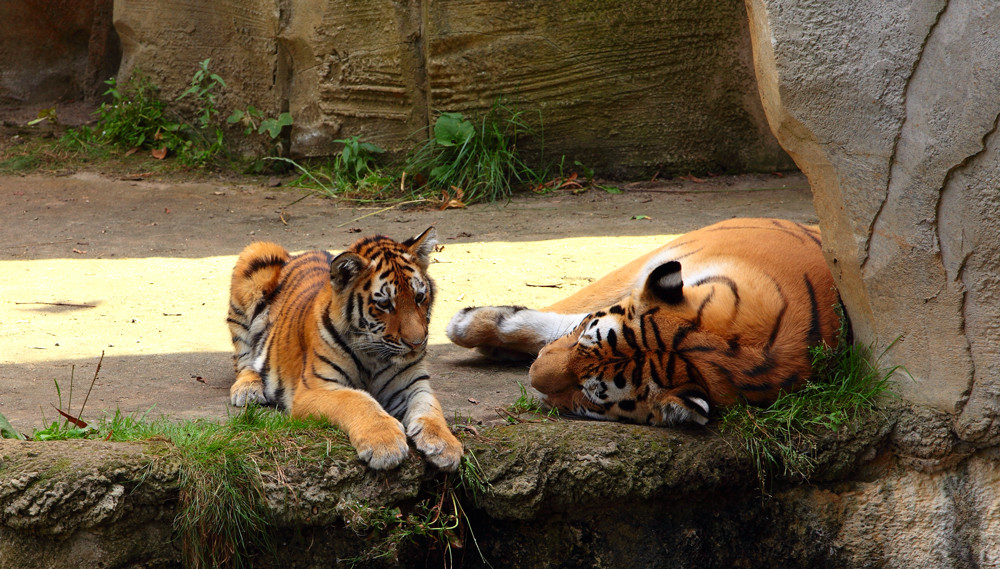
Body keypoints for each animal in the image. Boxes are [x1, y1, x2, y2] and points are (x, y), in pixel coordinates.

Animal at [227, 227, 460, 470]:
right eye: (384, 304)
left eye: (419, 297)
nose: (417, 342)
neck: (374, 355)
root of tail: (297, 255)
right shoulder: (316, 388)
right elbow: (357, 400)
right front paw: (385, 444)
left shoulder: (413, 385)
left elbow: (430, 409)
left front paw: (445, 445)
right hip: (255, 258)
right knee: (243, 360)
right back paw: (248, 390)